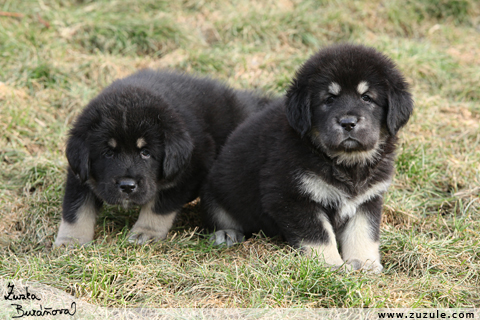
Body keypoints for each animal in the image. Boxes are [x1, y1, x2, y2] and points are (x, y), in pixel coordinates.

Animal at [54, 69, 272, 246]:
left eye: (146, 153)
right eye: (108, 153)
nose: (127, 186)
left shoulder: (189, 169)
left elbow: (160, 204)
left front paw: (145, 232)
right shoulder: (80, 173)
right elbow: (76, 209)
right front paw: (70, 240)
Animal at [201, 43, 414, 272]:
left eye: (367, 97)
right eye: (329, 99)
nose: (348, 123)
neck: (343, 162)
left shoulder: (368, 198)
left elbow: (363, 231)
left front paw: (364, 263)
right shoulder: (291, 197)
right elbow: (318, 235)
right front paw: (330, 264)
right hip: (215, 193)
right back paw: (226, 233)